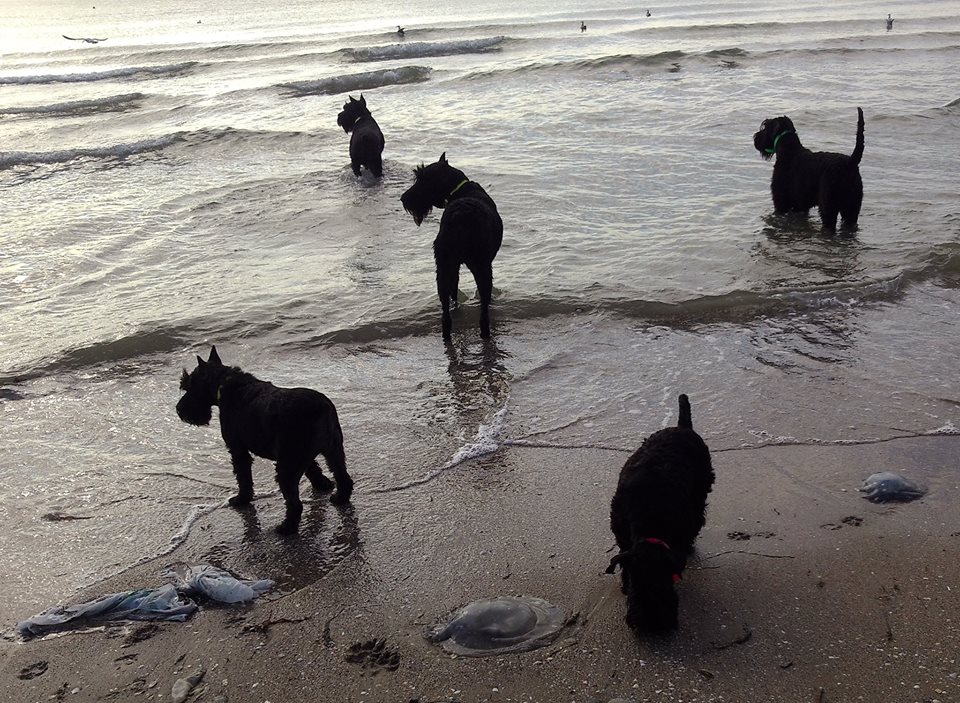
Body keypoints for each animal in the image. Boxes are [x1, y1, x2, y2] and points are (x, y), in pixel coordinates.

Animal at [176, 346, 353, 535]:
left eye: (188, 387)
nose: (179, 409)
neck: (226, 384)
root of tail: (322, 410)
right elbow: (313, 468)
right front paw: (322, 484)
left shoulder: (238, 450)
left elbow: (243, 476)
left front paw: (241, 499)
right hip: (333, 451)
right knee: (342, 476)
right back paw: (340, 498)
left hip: (287, 466)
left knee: (294, 503)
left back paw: (286, 528)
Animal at [400, 153, 503, 341]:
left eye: (424, 180)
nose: (404, 198)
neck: (458, 189)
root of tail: (459, 217)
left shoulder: (453, 266)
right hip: (481, 267)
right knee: (484, 308)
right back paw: (485, 333)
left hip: (443, 266)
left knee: (446, 308)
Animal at [606, 394, 715, 632]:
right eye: (637, 582)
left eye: (665, 579)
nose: (652, 625)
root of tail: (683, 427)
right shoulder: (622, 535)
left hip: (701, 491)